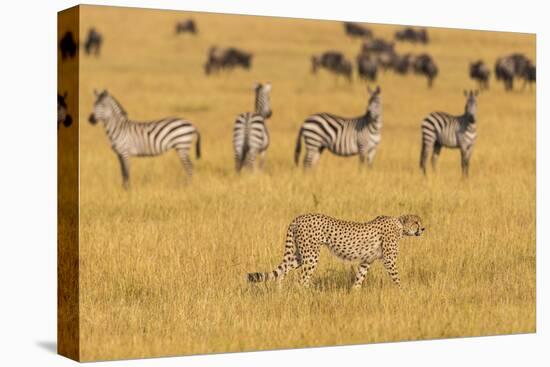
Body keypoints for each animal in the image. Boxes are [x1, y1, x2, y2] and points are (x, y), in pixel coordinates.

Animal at [248, 214, 424, 288]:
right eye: (416, 222)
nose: (423, 228)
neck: (400, 226)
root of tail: (299, 217)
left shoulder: (366, 261)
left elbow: (359, 278)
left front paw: (354, 294)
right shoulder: (389, 260)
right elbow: (397, 278)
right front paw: (404, 292)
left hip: (300, 255)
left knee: (282, 272)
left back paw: (280, 294)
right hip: (311, 256)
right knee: (302, 280)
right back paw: (308, 296)